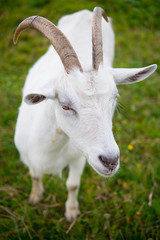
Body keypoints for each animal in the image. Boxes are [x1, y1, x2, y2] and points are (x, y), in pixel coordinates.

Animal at [13, 7, 157, 221]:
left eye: (115, 97)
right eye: (65, 105)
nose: (110, 160)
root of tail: (84, 12)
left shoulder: (79, 158)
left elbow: (72, 185)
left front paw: (72, 213)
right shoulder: (26, 156)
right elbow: (35, 175)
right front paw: (35, 197)